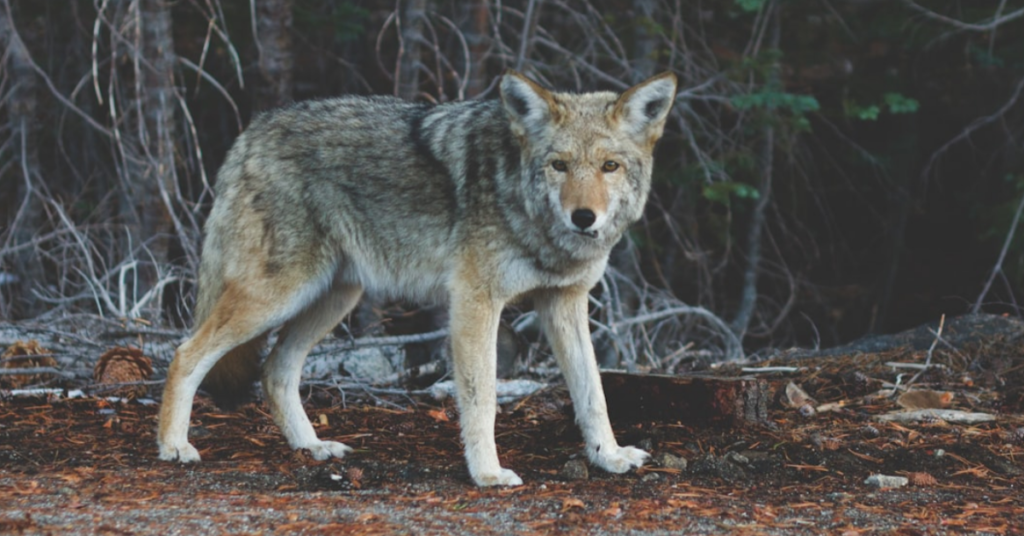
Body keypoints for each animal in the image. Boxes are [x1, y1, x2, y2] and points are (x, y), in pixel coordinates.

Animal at [157, 70, 677, 487]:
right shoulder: (475, 302)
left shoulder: (564, 303)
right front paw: (488, 474)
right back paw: (174, 446)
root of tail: (252, 130)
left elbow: (593, 393)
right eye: (560, 165)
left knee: (275, 370)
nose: (584, 217)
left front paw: (609, 457)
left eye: (609, 166)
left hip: (333, 298)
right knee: (186, 353)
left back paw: (313, 447)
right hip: (278, 295)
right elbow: (482, 398)